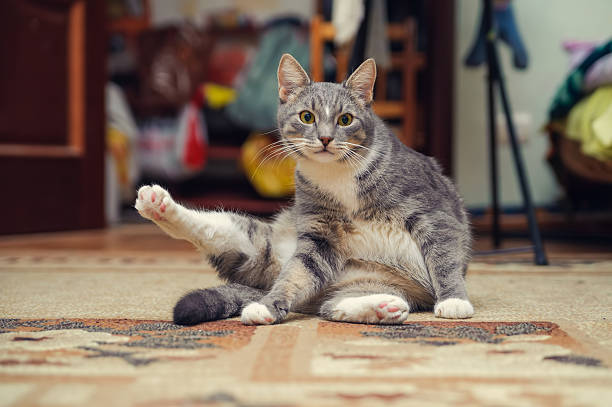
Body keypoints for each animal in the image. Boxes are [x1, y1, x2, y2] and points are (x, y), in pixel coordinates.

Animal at [135, 55, 474, 328]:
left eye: (345, 119)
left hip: (375, 281)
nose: (324, 138)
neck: (338, 174)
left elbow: (444, 258)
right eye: (307, 117)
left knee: (334, 306)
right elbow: (297, 274)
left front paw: (453, 301)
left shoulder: (432, 212)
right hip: (257, 245)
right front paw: (267, 308)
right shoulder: (320, 235)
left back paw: (383, 307)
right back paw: (157, 204)